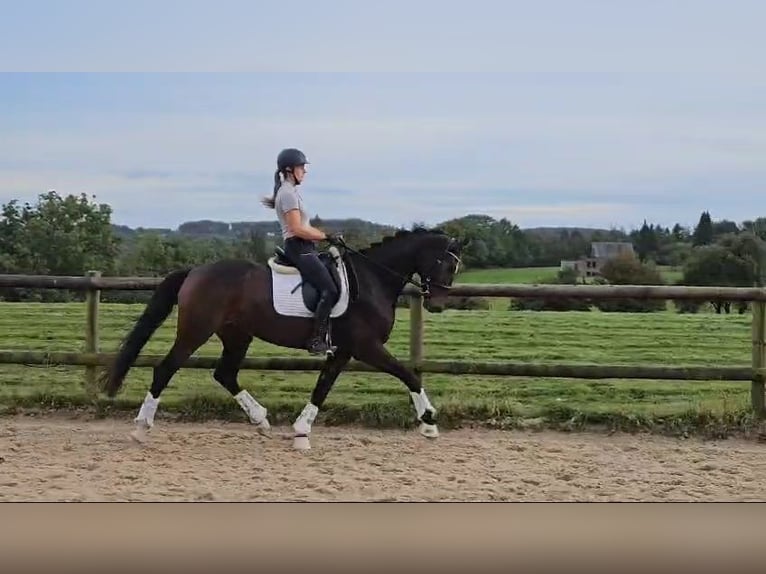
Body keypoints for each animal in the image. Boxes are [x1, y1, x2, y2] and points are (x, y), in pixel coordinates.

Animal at [98, 228, 464, 450]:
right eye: (446, 264)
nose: (437, 304)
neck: (373, 279)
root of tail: (195, 271)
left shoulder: (343, 350)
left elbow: (322, 387)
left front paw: (301, 430)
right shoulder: (366, 347)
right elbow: (408, 375)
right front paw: (429, 422)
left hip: (237, 335)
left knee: (225, 373)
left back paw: (261, 420)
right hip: (196, 331)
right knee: (165, 369)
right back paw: (141, 427)